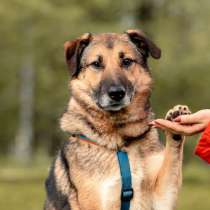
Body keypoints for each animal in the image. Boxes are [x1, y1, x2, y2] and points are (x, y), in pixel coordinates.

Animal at [43, 29, 190, 210]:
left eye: (126, 61)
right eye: (96, 64)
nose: (116, 93)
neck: (121, 142)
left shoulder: (161, 198)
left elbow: (173, 157)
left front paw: (175, 122)